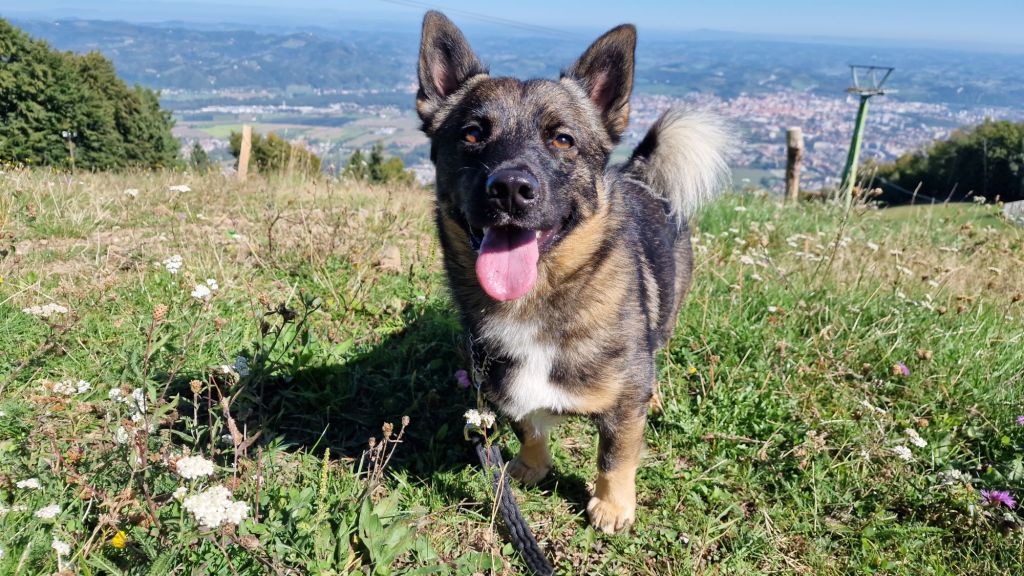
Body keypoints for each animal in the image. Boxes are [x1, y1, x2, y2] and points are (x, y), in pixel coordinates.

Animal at [416, 11, 729, 534]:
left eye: (562, 139)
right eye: (472, 134)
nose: (510, 188)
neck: (538, 301)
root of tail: (639, 174)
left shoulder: (622, 408)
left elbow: (616, 455)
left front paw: (613, 505)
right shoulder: (502, 389)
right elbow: (528, 427)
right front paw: (532, 466)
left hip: (666, 318)